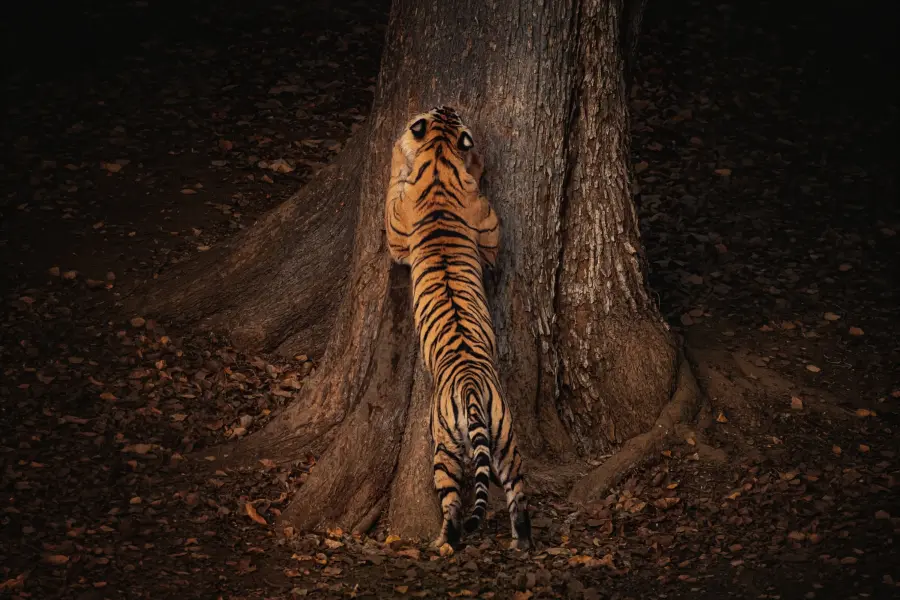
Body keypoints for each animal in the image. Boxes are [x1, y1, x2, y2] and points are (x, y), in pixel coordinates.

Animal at [384, 106, 532, 550]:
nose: (448, 106)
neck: (439, 159)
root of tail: (468, 387)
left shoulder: (398, 235)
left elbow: (391, 187)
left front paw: (397, 151)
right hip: (506, 439)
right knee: (519, 493)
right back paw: (522, 542)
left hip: (444, 449)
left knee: (451, 502)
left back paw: (444, 542)